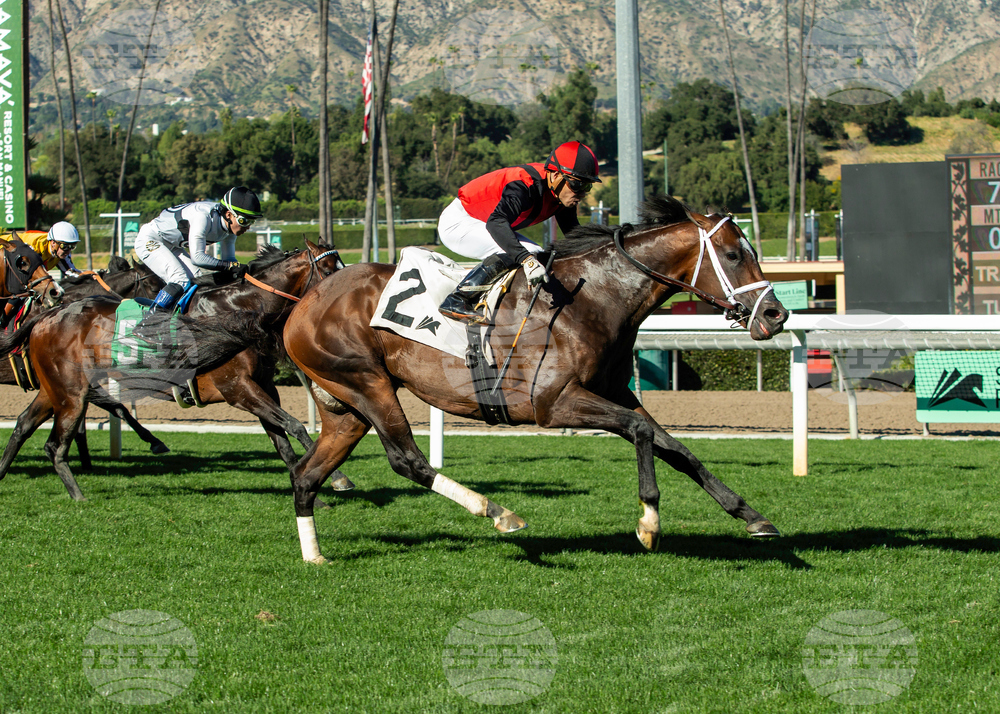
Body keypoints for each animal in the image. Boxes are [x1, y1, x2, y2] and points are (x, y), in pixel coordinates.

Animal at [0, 241, 353, 501]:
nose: (345, 296)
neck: (239, 311)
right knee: (55, 444)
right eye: (327, 269)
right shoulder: (238, 389)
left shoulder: (263, 387)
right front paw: (337, 478)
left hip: (55, 389)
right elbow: (294, 425)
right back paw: (78, 496)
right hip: (72, 393)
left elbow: (283, 441)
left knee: (24, 425)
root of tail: (47, 315)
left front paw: (318, 486)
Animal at [278, 196, 789, 562]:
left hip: (348, 407)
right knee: (407, 460)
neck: (594, 297)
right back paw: (498, 512)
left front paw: (752, 516)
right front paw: (649, 522)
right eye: (732, 254)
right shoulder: (553, 404)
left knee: (306, 475)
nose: (776, 315)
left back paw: (314, 555)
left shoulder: (612, 391)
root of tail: (305, 303)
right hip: (368, 383)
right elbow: (642, 432)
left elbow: (676, 449)